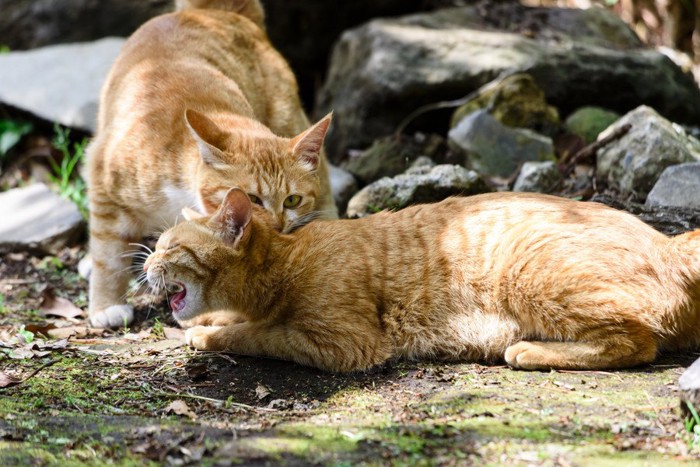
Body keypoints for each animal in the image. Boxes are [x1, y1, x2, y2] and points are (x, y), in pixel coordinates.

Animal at [86, 0, 338, 330]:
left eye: (292, 200)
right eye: (252, 198)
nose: (277, 227)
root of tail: (210, 11)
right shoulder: (102, 179)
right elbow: (107, 253)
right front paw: (106, 304)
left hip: (288, 117)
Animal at [145, 188, 700, 374]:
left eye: (168, 247)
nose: (146, 265)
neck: (285, 261)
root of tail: (670, 243)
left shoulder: (345, 344)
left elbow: (256, 333)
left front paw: (209, 333)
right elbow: (243, 321)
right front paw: (210, 321)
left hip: (532, 272)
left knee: (636, 343)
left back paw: (529, 350)